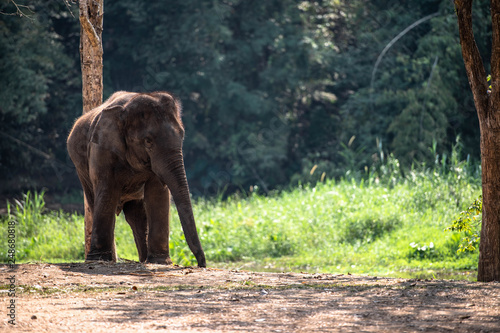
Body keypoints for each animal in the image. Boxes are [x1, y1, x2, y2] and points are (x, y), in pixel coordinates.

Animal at [67, 89, 206, 266]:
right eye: (148, 141)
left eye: (182, 136)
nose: (201, 264)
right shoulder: (101, 149)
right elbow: (106, 192)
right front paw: (98, 260)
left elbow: (157, 194)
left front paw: (159, 261)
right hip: (81, 169)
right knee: (98, 204)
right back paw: (111, 260)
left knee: (136, 218)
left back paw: (143, 260)